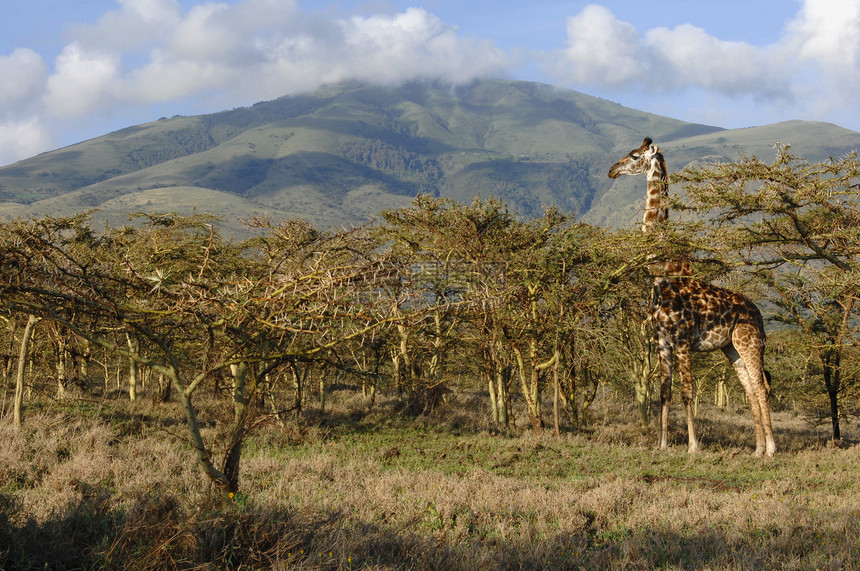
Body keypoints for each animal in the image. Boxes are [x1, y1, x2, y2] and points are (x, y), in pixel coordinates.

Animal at [608, 136, 776, 458]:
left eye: (634, 156)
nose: (611, 170)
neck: (660, 274)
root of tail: (758, 312)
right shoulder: (661, 341)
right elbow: (664, 392)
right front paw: (661, 443)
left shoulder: (683, 340)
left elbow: (687, 392)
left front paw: (693, 446)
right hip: (731, 348)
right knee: (749, 388)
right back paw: (758, 449)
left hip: (750, 342)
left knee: (761, 387)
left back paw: (772, 449)